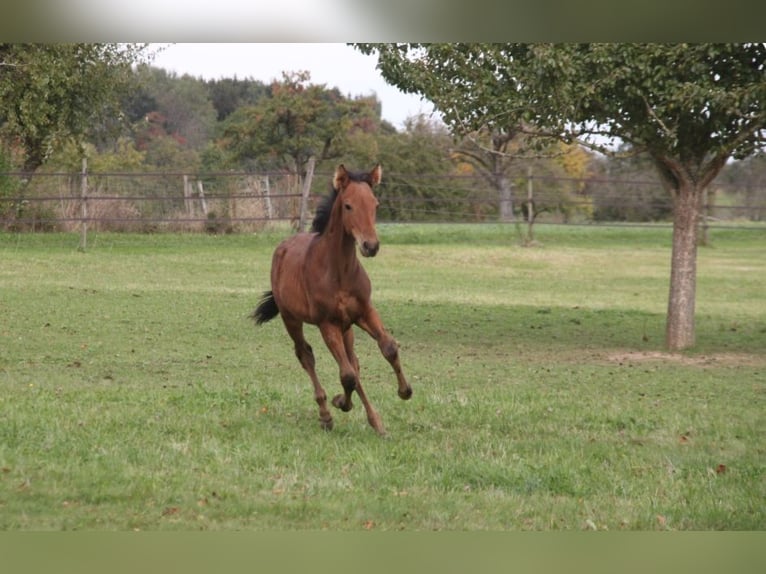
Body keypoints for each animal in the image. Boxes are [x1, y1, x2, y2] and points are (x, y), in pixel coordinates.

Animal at [252, 163, 412, 436]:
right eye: (348, 205)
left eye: (375, 204)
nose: (370, 246)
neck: (340, 272)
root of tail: (283, 246)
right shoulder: (327, 323)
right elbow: (346, 375)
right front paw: (340, 403)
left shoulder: (364, 312)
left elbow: (387, 348)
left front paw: (404, 391)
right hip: (292, 319)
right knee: (306, 355)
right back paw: (326, 414)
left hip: (347, 328)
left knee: (353, 362)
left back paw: (374, 420)